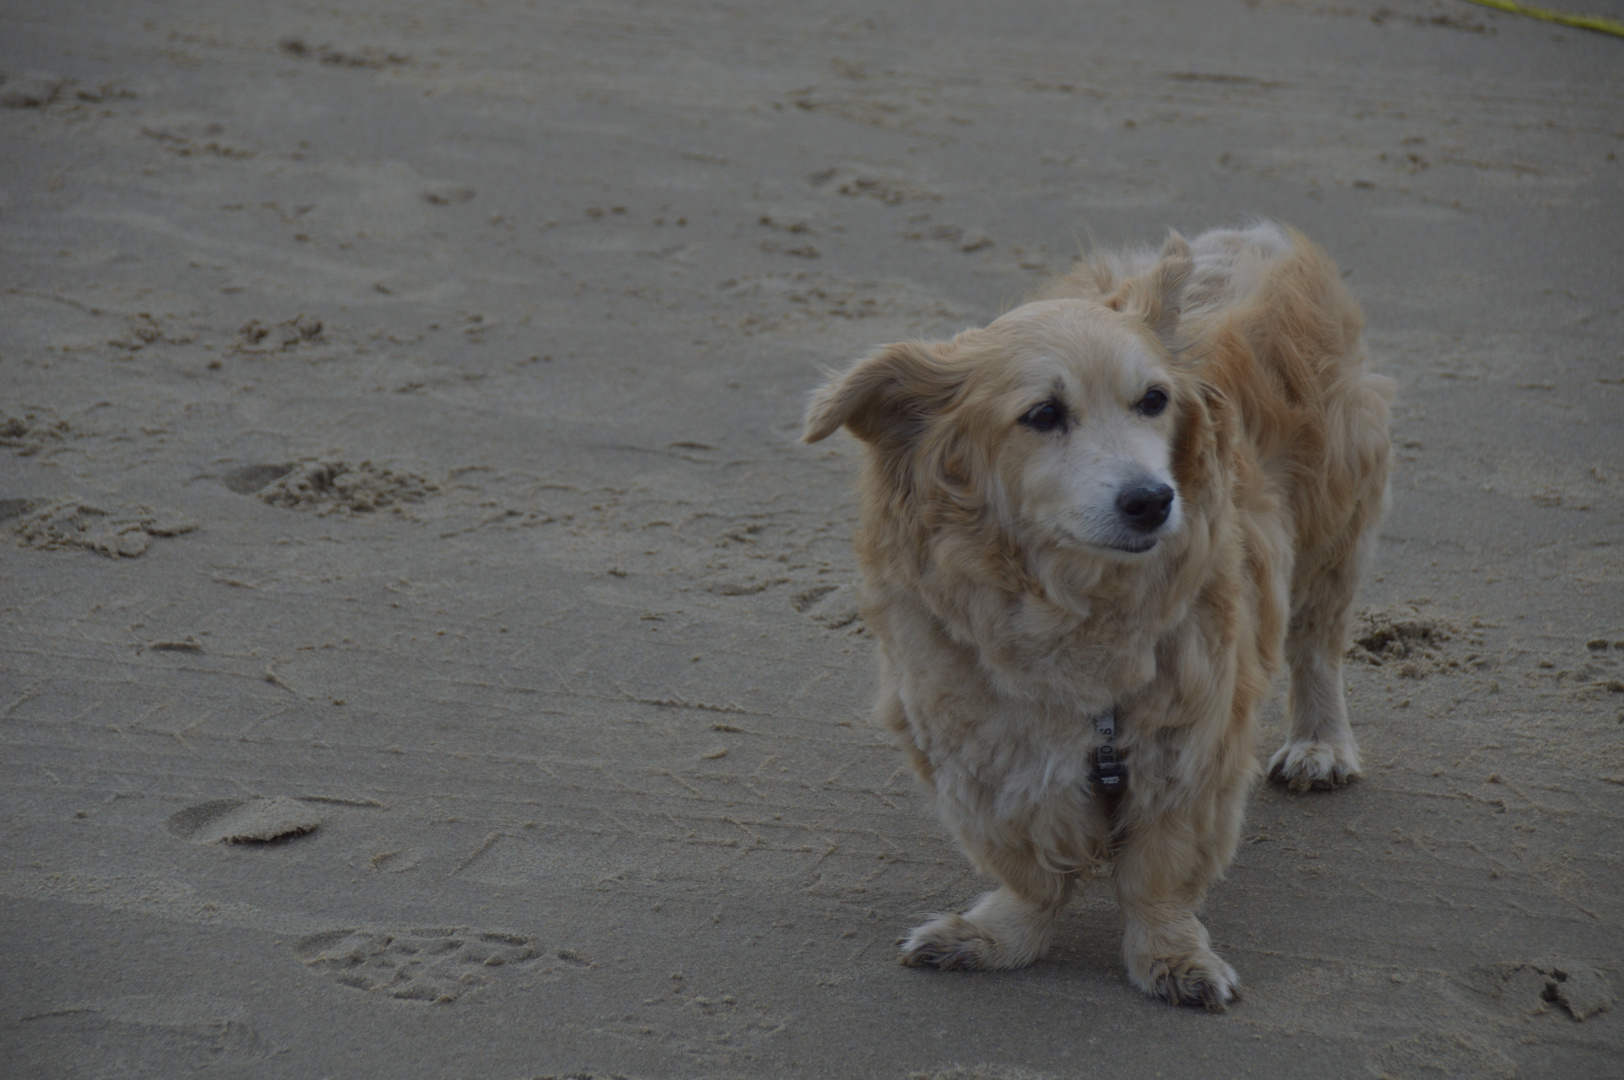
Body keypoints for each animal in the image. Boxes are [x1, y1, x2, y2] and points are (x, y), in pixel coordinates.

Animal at [805, 222, 1390, 1006]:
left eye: (1154, 400)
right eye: (1043, 415)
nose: (1153, 500)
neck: (1076, 602)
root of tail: (1251, 235)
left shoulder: (1190, 737)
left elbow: (1158, 874)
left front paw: (1171, 956)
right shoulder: (980, 741)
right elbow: (1027, 865)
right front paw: (1000, 934)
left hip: (1335, 518)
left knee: (1317, 642)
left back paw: (1321, 743)